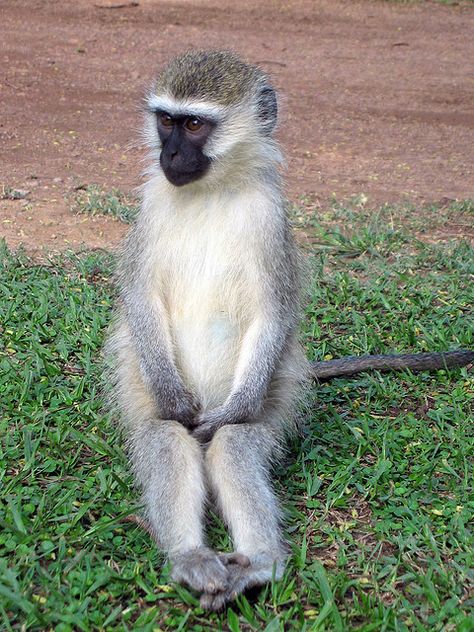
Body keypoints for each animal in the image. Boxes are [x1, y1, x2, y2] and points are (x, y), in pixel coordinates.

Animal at [105, 50, 472, 612]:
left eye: (194, 126)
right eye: (165, 121)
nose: (170, 153)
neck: (213, 192)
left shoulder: (272, 221)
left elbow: (273, 314)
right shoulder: (150, 207)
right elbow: (139, 297)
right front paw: (172, 397)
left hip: (268, 406)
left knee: (233, 445)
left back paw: (259, 563)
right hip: (146, 399)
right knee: (168, 438)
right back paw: (192, 556)